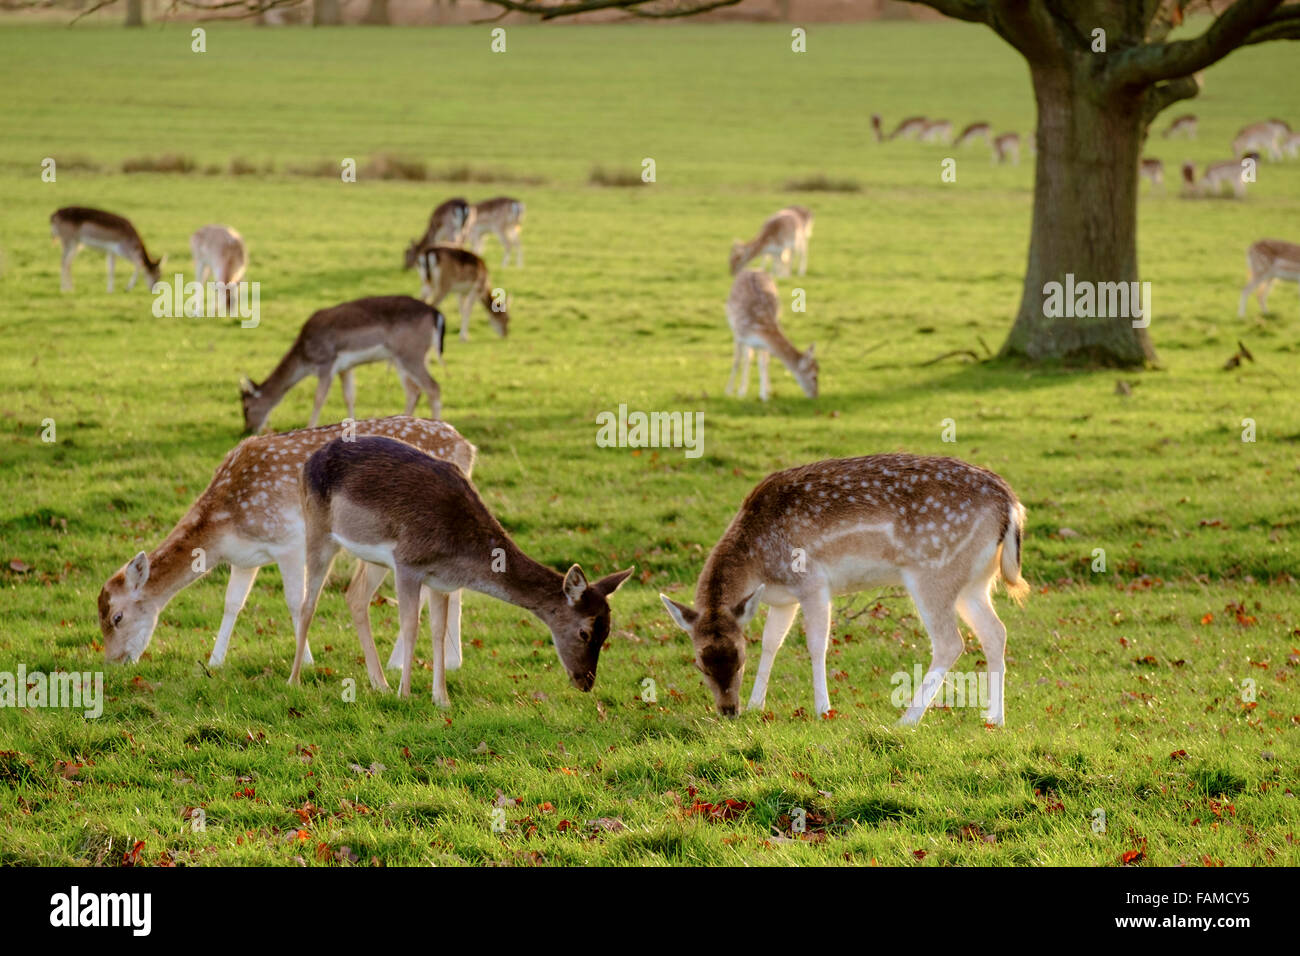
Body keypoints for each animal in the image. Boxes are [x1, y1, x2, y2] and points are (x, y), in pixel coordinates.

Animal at [97, 417, 476, 690]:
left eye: (116, 617)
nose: (113, 662)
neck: (224, 523)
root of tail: (467, 447)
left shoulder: (288, 541)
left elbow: (296, 601)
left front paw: (305, 661)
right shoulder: (245, 559)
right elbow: (232, 603)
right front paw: (215, 661)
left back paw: (404, 663)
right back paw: (451, 661)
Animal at [240, 295, 446, 435]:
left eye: (246, 408)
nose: (247, 430)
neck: (305, 359)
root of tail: (436, 313)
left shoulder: (326, 363)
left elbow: (319, 398)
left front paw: (309, 426)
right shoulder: (345, 368)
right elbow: (349, 396)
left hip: (411, 353)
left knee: (433, 387)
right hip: (403, 358)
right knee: (414, 391)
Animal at [291, 435, 633, 703]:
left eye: (607, 632)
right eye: (584, 632)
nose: (585, 682)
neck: (461, 555)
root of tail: (309, 461)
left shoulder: (442, 581)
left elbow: (439, 631)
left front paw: (441, 699)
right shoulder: (408, 563)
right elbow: (410, 625)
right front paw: (406, 694)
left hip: (373, 558)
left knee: (355, 597)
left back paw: (380, 685)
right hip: (318, 529)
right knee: (309, 602)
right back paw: (295, 679)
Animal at [660, 454, 1027, 725]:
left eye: (739, 660)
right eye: (700, 664)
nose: (728, 710)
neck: (758, 563)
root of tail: (1012, 505)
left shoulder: (812, 581)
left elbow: (815, 644)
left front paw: (823, 709)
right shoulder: (783, 600)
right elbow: (771, 642)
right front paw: (756, 704)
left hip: (933, 573)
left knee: (951, 642)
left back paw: (906, 719)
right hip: (974, 582)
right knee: (995, 632)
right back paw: (994, 718)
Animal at [725, 270, 818, 401]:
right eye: (814, 376)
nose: (816, 395)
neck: (760, 327)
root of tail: (753, 270)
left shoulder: (763, 344)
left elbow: (763, 363)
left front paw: (764, 395)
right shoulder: (738, 334)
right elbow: (737, 361)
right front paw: (729, 391)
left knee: (756, 358)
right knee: (746, 357)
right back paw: (741, 390)